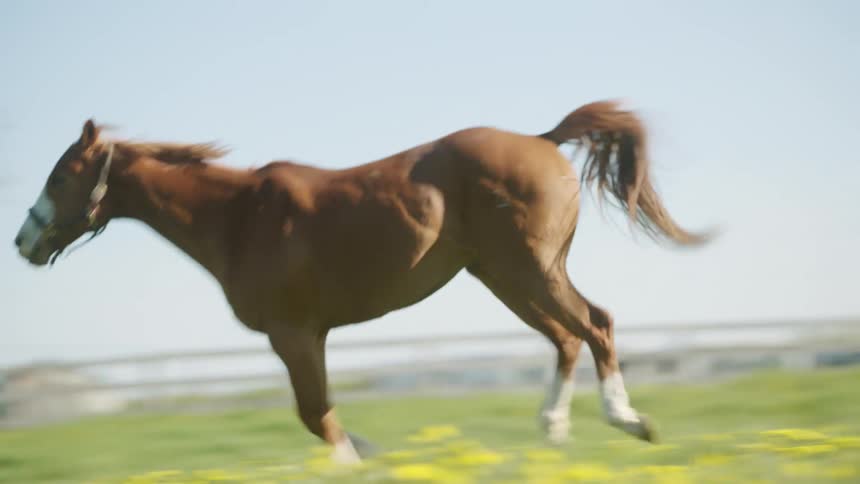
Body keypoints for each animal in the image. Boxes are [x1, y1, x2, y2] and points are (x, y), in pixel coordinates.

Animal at [14, 100, 708, 463]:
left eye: (58, 178)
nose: (23, 242)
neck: (238, 217)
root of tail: (543, 140)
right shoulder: (308, 337)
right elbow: (318, 415)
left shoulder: (294, 333)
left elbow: (316, 416)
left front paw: (361, 460)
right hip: (505, 276)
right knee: (567, 339)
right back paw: (554, 430)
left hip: (528, 270)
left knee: (595, 325)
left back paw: (628, 420)